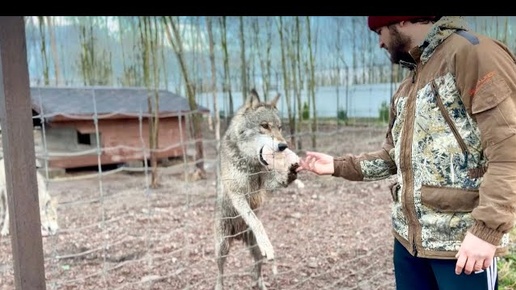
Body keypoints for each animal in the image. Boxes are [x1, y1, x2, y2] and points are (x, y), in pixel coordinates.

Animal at [216, 89, 300, 290]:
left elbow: (277, 181)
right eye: (264, 126)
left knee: (257, 268)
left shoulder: (265, 185)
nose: (283, 146)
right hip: (222, 246)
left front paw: (290, 172)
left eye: (280, 127)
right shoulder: (237, 194)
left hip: (254, 250)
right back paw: (219, 285)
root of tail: (239, 236)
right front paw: (267, 244)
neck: (252, 164)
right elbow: (255, 221)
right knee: (220, 269)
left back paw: (259, 282)